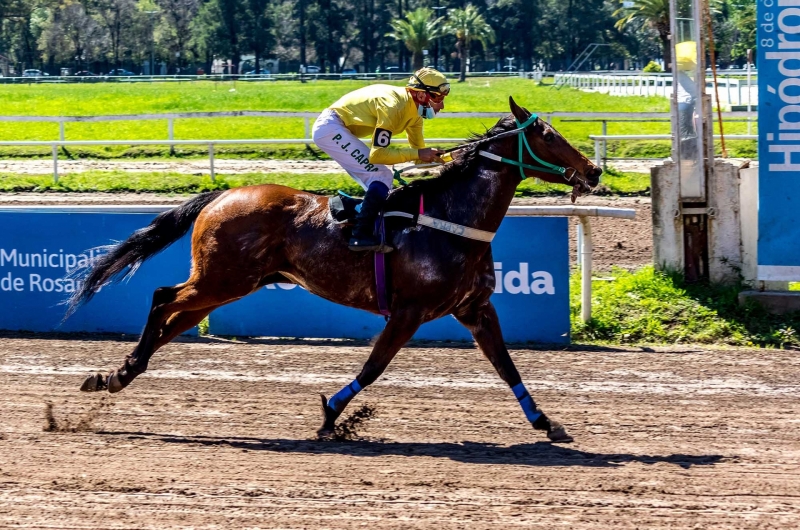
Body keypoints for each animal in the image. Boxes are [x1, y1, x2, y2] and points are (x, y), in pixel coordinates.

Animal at [72, 96, 600, 442]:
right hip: (222, 279)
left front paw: (547, 423)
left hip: (228, 286)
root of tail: (221, 194)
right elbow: (374, 366)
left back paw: (117, 374)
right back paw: (122, 370)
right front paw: (331, 415)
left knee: (171, 321)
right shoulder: (408, 312)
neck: (452, 221)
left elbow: (507, 366)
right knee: (162, 298)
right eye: (548, 135)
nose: (593, 171)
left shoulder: (475, 309)